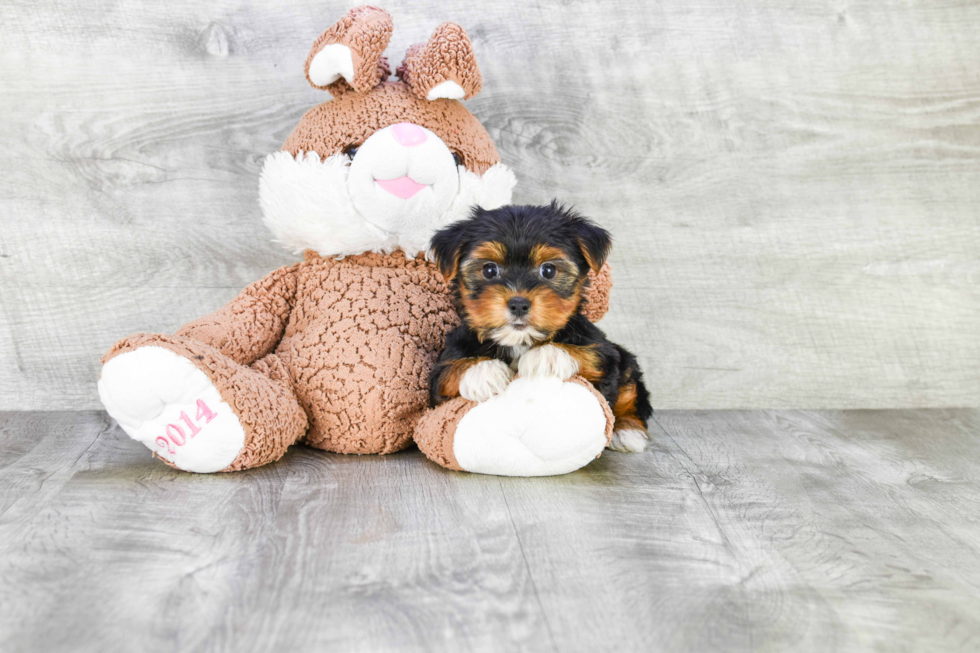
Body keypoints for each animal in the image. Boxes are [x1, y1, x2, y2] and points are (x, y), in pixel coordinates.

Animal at [426, 201, 652, 450]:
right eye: (489, 270)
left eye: (548, 270)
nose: (518, 304)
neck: (519, 340)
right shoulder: (441, 374)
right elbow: (447, 372)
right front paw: (482, 370)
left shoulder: (604, 353)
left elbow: (592, 356)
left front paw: (548, 354)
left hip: (626, 362)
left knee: (630, 393)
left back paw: (627, 430)